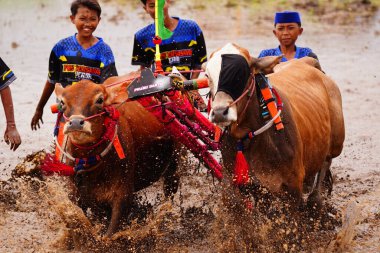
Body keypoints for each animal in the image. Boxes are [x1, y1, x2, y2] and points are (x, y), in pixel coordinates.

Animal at [53, 75, 180, 237]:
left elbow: (109, 235)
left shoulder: (122, 196)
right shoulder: (78, 195)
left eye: (99, 100)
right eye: (62, 102)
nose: (75, 123)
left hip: (173, 167)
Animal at [206, 42, 346, 208]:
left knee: (325, 163)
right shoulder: (238, 181)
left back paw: (316, 198)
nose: (219, 112)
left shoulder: (293, 187)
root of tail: (307, 62)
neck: (248, 139)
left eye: (242, 73)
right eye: (207, 75)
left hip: (336, 143)